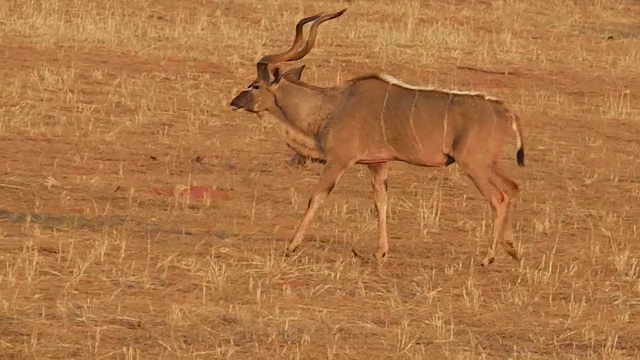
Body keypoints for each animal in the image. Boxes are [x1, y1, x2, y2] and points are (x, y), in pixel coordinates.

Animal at [230, 9, 524, 266]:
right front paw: (380, 253)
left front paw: (292, 246)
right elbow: (380, 203)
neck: (331, 106)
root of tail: (506, 112)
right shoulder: (378, 164)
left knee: (498, 198)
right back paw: (512, 250)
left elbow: (317, 196)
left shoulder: (339, 160)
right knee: (512, 187)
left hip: (473, 164)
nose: (234, 102)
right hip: (487, 164)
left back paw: (488, 258)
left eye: (254, 85)